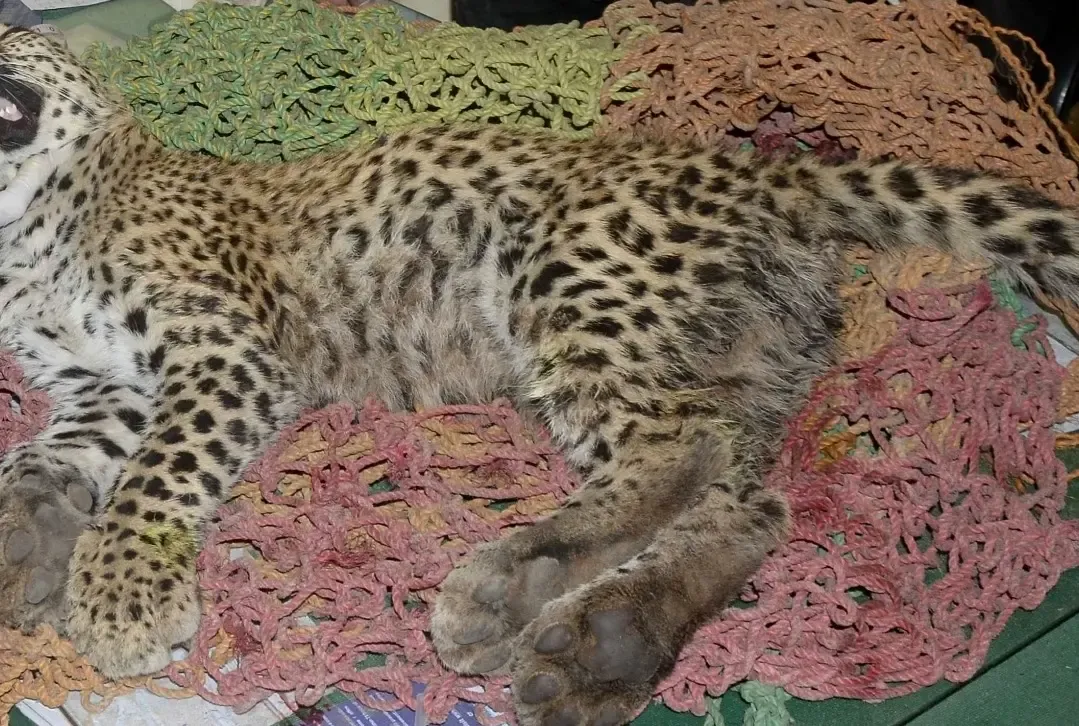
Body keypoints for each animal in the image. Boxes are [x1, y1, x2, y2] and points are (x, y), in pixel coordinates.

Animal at [1, 24, 1078, 726]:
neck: (28, 236)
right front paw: (25, 544)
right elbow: (46, 461)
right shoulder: (104, 387)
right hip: (740, 359)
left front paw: (121, 599)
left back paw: (518, 582)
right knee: (746, 504)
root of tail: (765, 172)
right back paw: (603, 644)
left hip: (571, 281)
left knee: (677, 445)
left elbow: (157, 474)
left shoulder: (221, 349)